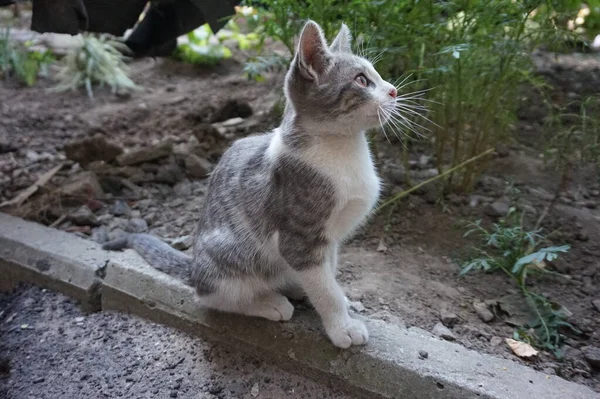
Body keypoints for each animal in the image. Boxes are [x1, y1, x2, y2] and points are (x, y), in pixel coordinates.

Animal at [103, 20, 398, 348]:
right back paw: (267, 302)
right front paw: (341, 325)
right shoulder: (299, 238)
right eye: (361, 80)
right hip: (229, 254)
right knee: (212, 296)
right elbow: (323, 287)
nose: (394, 90)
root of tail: (194, 267)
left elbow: (328, 274)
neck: (343, 151)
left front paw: (338, 302)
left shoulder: (330, 239)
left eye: (377, 75)